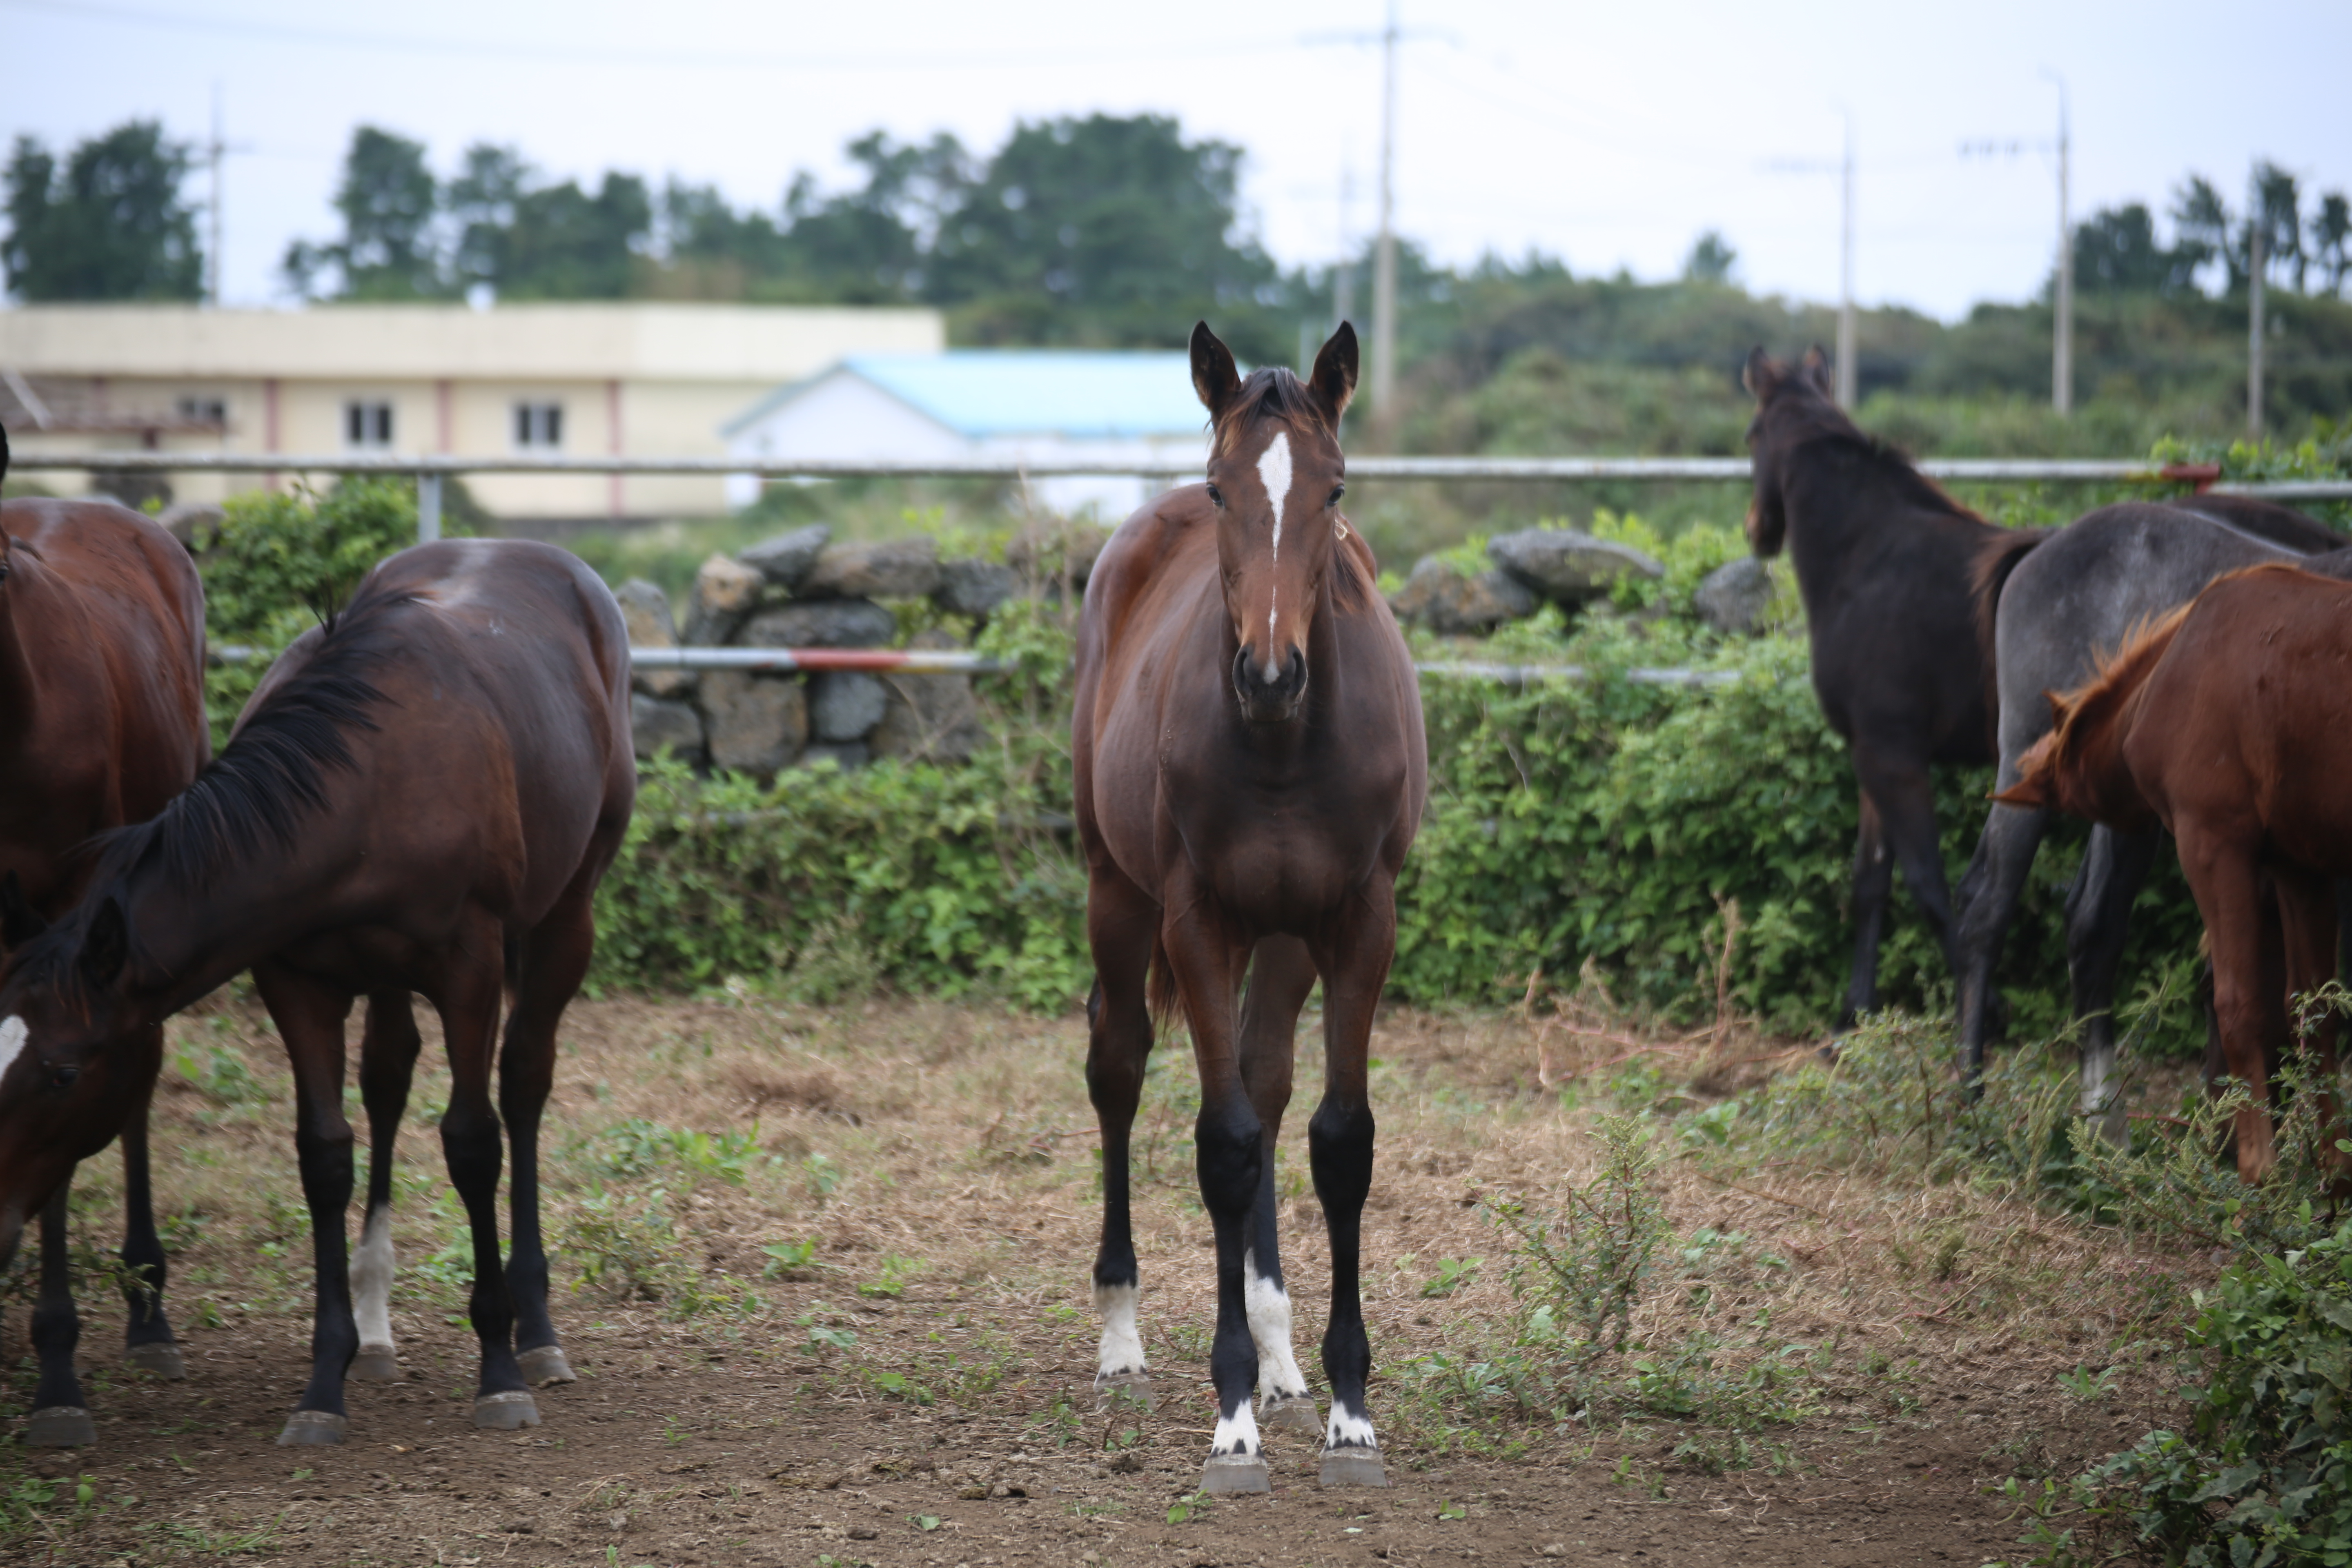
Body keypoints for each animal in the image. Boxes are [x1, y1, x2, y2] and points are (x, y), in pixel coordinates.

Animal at [0, 543, 639, 1448]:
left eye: (62, 1073)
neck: (365, 787)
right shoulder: (297, 980)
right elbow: (325, 1155)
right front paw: (323, 1382)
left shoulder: (469, 967)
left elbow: (472, 1143)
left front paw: (500, 1368)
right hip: (385, 978)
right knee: (389, 1077)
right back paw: (375, 1327)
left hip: (567, 914)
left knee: (523, 1081)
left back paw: (538, 1330)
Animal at [1077, 322, 1421, 1495]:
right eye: (1224, 489)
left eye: (1336, 488)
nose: (1270, 675)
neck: (1283, 746)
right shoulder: (1197, 921)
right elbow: (1222, 1143)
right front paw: (1229, 1423)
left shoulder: (1359, 922)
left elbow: (1337, 1140)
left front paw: (1352, 1414)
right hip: (1117, 890)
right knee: (1120, 1067)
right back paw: (1124, 1338)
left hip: (1286, 939)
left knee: (1268, 1085)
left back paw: (1281, 1355)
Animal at [1740, 348, 2032, 1025]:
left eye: (1749, 437)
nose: (1756, 529)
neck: (1869, 556)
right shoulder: (1870, 755)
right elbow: (1871, 880)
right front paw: (1853, 1016)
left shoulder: (1892, 756)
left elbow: (1927, 883)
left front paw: (1991, 1007)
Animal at [1994, 557, 2352, 1185]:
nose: (2220, 1141)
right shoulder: (2301, 869)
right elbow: (2315, 1010)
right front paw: (2334, 1175)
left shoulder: (2212, 844)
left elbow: (2240, 1003)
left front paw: (2260, 1171)